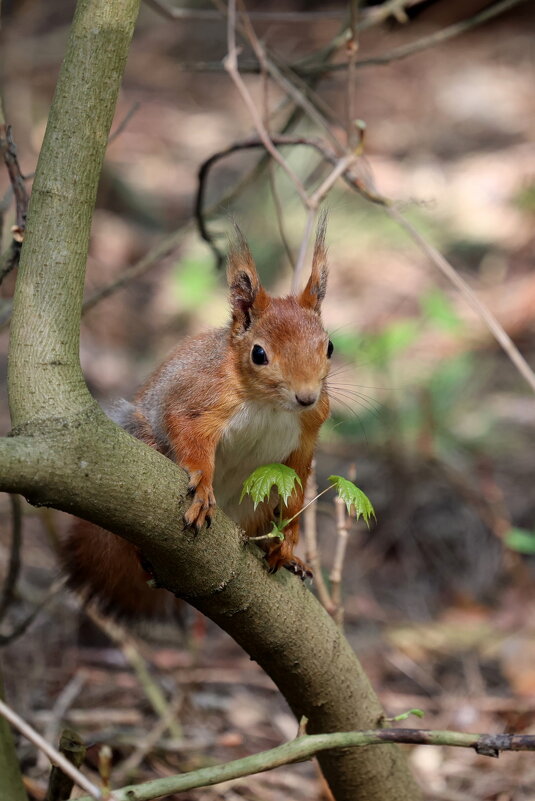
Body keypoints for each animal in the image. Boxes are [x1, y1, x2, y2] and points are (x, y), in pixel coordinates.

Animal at [61, 222, 330, 616]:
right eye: (259, 354)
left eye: (329, 348)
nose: (306, 397)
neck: (269, 405)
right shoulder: (198, 397)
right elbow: (186, 431)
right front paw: (202, 488)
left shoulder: (307, 433)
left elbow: (295, 485)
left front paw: (290, 541)